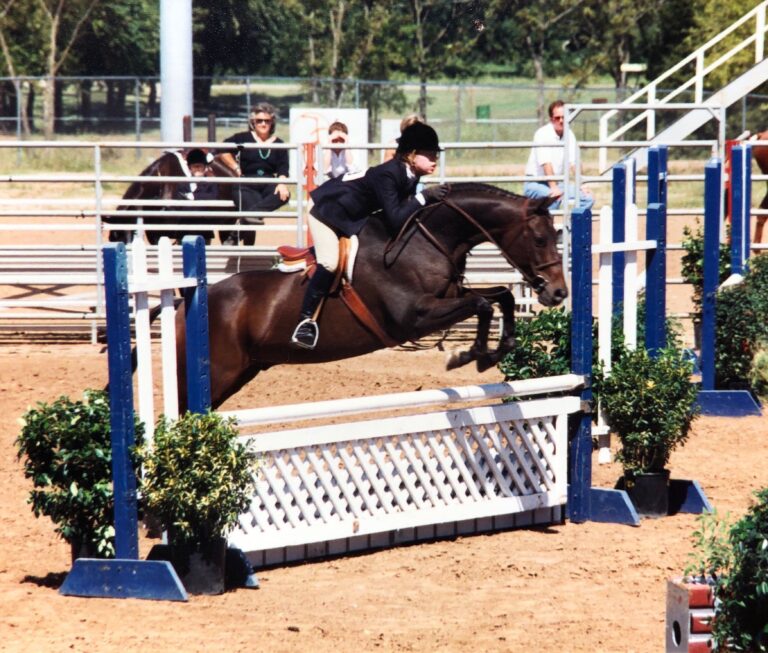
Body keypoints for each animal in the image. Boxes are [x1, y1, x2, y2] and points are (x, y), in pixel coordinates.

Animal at [176, 182, 568, 408]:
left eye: (558, 235)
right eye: (539, 239)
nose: (558, 292)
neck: (427, 240)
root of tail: (186, 303)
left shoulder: (451, 294)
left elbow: (501, 296)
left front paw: (497, 350)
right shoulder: (414, 317)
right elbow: (483, 304)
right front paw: (470, 356)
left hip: (242, 371)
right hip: (218, 373)